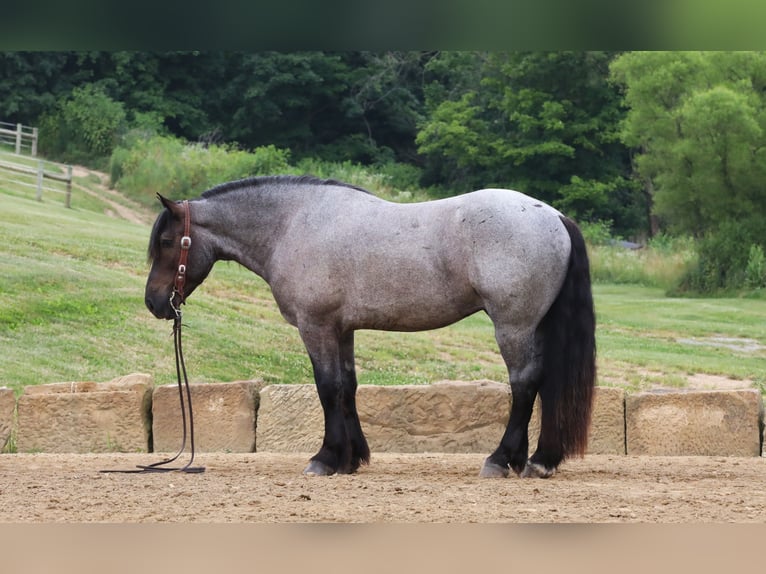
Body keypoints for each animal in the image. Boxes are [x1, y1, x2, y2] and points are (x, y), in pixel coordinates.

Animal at [146, 177, 600, 482]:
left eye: (167, 242)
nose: (154, 303)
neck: (294, 224)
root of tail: (554, 217)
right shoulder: (342, 329)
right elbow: (347, 387)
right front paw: (351, 459)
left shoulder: (316, 327)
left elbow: (327, 388)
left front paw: (325, 459)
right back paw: (532, 460)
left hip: (513, 326)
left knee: (524, 384)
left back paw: (502, 459)